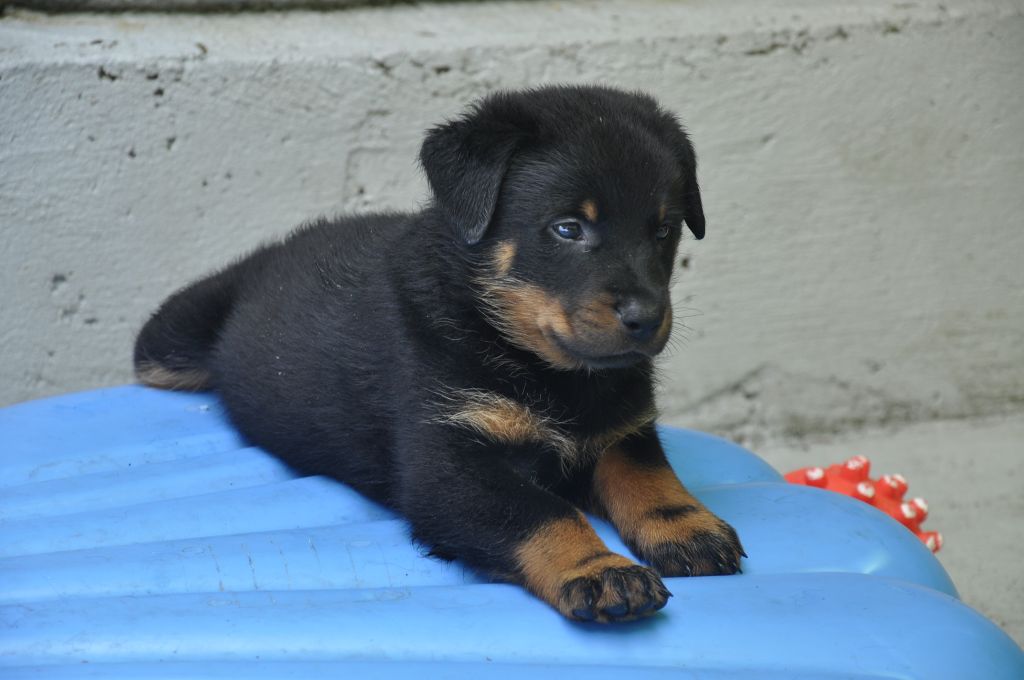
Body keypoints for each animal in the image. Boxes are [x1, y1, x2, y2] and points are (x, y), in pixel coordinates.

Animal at [134, 85, 745, 622]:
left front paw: (686, 527)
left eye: (663, 231)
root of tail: (270, 255)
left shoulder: (623, 423)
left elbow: (648, 473)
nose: (645, 318)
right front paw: (598, 570)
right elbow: (541, 511)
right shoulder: (444, 466)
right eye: (568, 228)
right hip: (166, 345)